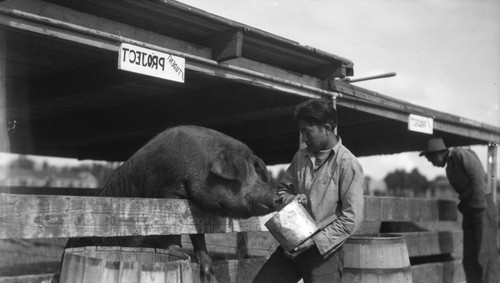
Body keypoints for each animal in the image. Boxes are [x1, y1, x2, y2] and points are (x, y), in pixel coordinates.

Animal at [64, 126, 276, 278]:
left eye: (258, 177)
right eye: (244, 177)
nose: (277, 196)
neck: (199, 167)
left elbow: (197, 235)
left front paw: (209, 273)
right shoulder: (168, 194)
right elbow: (171, 231)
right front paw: (175, 250)